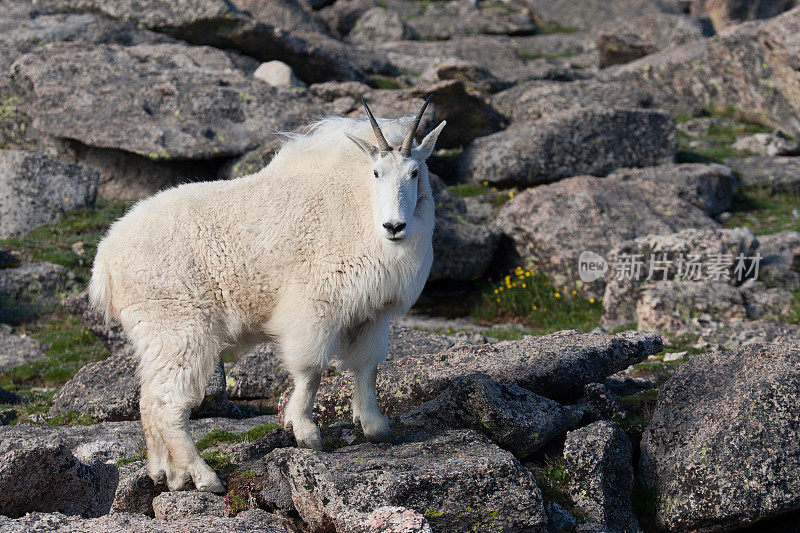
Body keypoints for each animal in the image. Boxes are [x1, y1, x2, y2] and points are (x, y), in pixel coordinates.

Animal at [90, 97, 446, 492]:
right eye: (376, 173)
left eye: (415, 172)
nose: (394, 226)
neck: (359, 206)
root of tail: (105, 260)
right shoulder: (315, 305)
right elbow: (311, 370)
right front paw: (305, 432)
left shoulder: (372, 312)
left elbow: (367, 368)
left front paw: (376, 428)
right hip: (178, 328)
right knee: (168, 404)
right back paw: (205, 477)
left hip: (153, 335)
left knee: (148, 399)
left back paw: (167, 474)